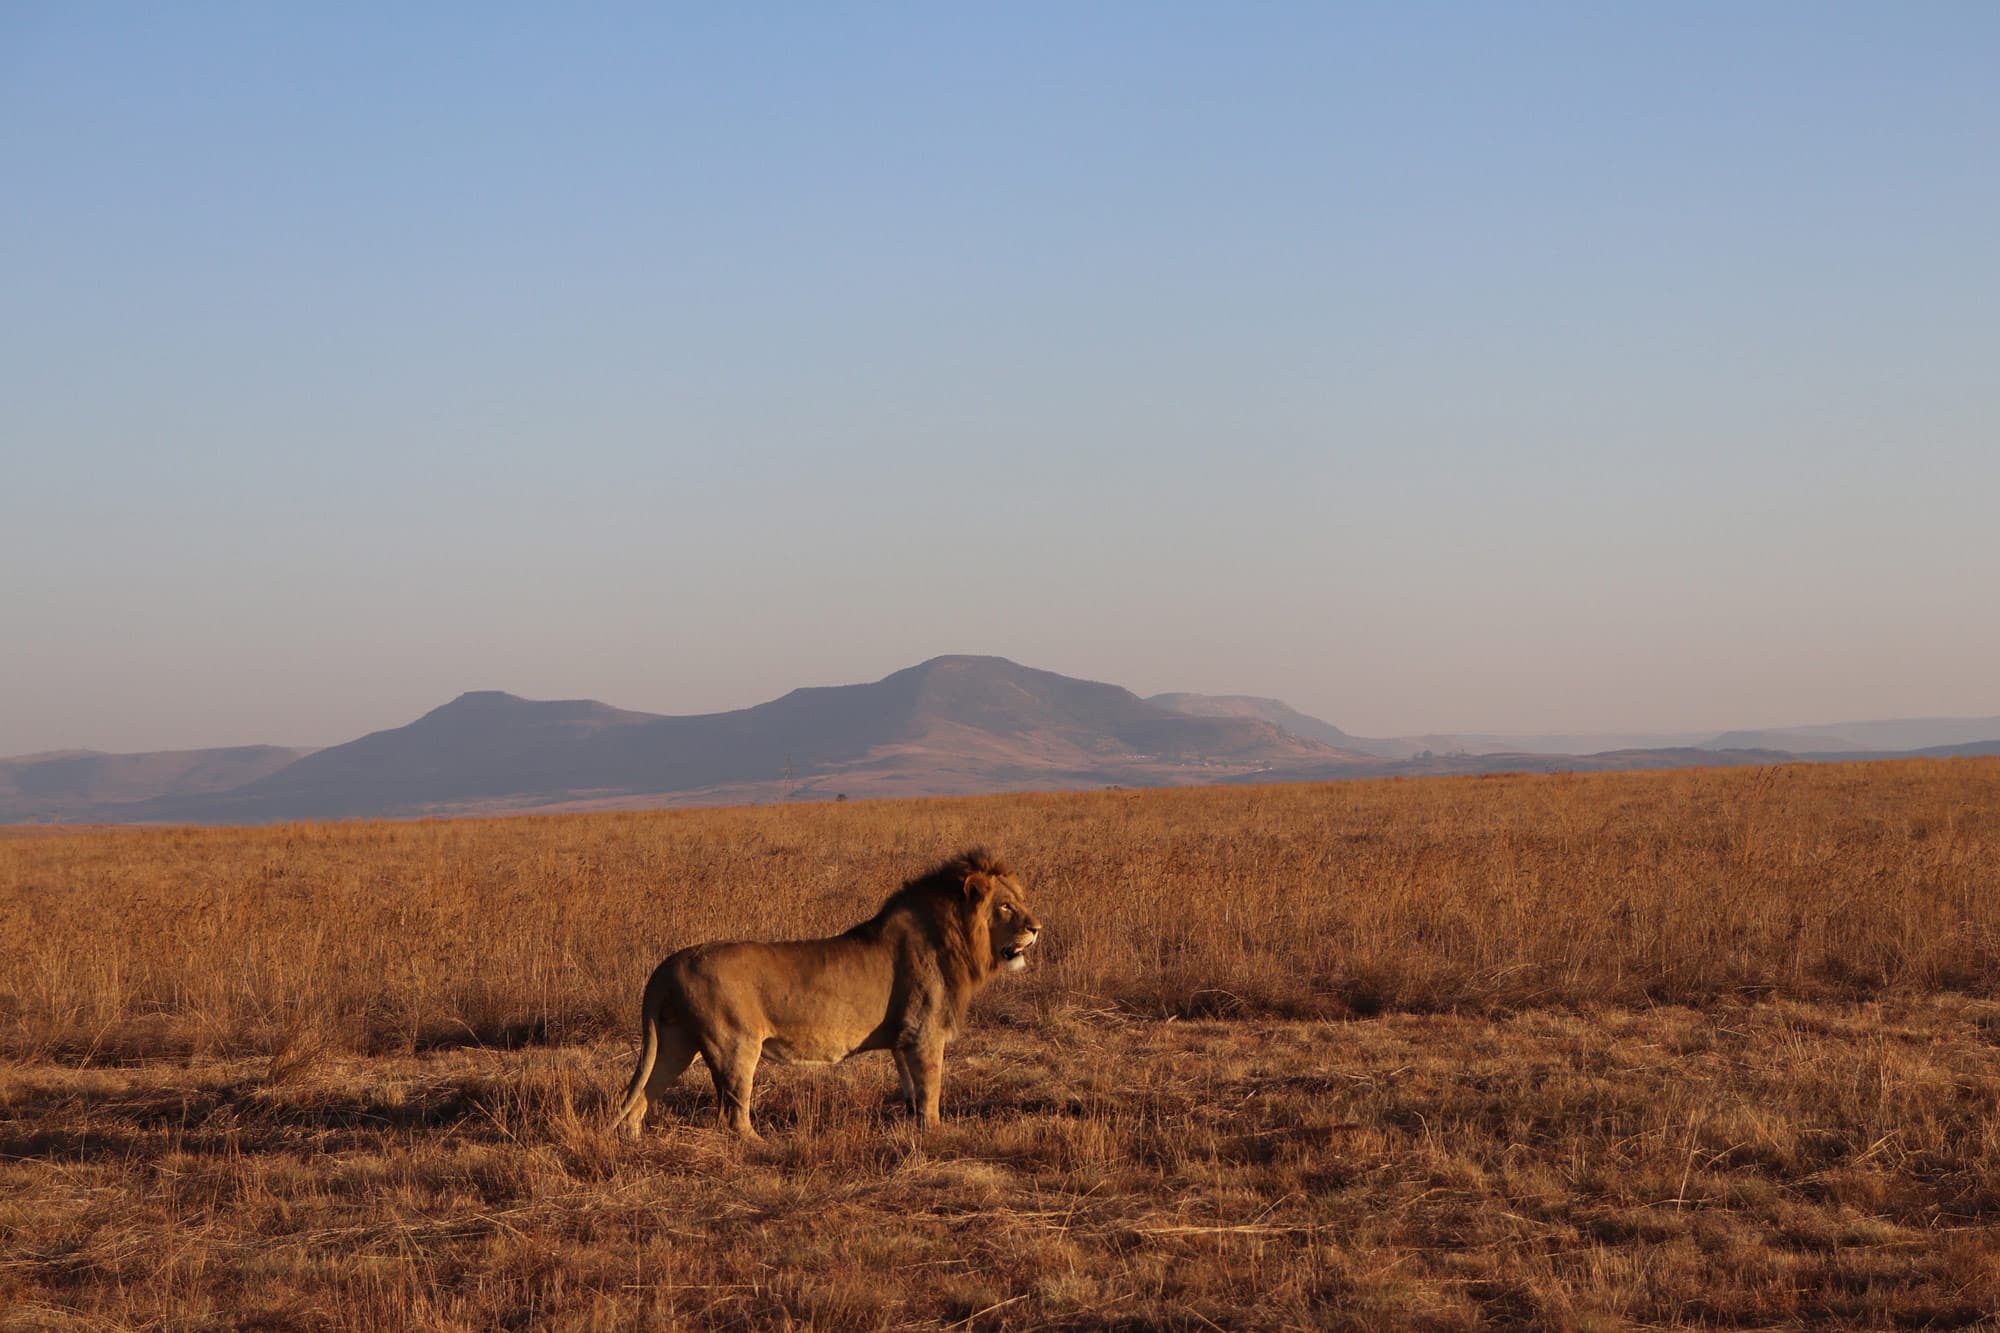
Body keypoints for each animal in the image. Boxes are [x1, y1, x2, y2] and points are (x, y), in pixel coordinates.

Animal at [612, 849, 1042, 1139]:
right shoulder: (924, 1032)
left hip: (676, 1042)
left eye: (1021, 902)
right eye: (1006, 906)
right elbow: (931, 1088)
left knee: (643, 1094)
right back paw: (761, 1143)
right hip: (734, 1045)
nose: (1037, 928)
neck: (956, 939)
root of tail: (668, 965)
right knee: (733, 1113)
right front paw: (936, 1133)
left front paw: (914, 1124)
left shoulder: (902, 1039)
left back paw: (633, 1140)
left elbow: (912, 1089)